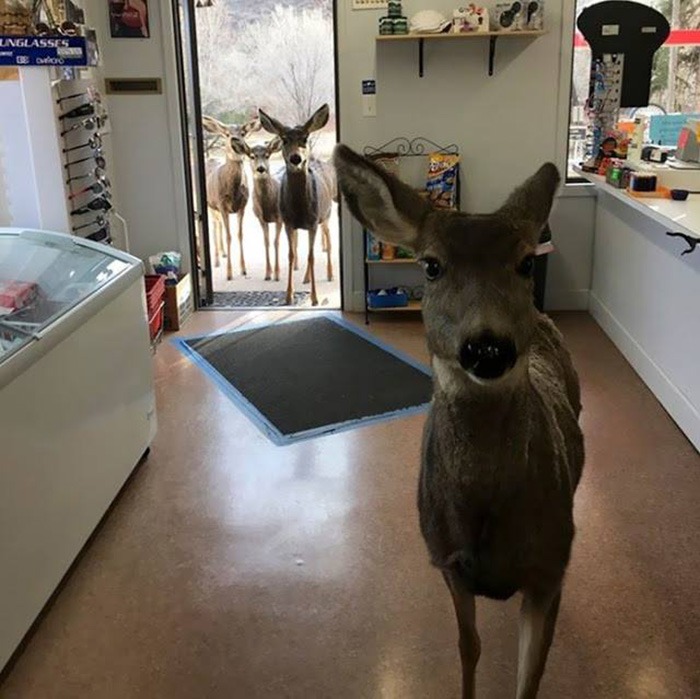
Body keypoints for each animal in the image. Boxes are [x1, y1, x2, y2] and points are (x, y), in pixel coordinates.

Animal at [202, 116, 260, 280]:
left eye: (243, 133)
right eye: (227, 134)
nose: (235, 141)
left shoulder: (242, 206)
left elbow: (239, 235)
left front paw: (243, 269)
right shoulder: (222, 205)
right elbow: (229, 236)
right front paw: (229, 273)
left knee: (218, 224)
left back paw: (223, 253)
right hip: (210, 205)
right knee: (214, 226)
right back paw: (216, 260)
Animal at [258, 104, 334, 306]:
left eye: (305, 138)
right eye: (284, 139)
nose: (296, 158)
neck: (300, 208)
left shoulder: (314, 221)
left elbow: (312, 256)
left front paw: (315, 298)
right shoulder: (287, 222)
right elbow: (291, 255)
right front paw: (288, 296)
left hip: (326, 215)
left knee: (328, 241)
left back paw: (330, 274)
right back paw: (306, 278)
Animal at [334, 144, 584, 699]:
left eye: (525, 262)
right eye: (430, 265)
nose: (487, 347)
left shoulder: (551, 567)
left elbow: (531, 674)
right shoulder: (446, 558)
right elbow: (468, 649)